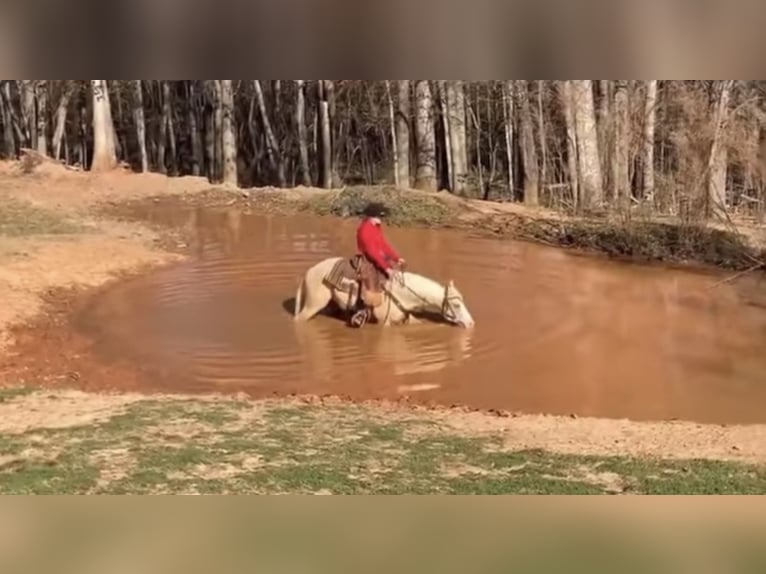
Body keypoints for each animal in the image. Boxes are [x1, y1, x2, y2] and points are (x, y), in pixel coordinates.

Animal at [292, 256, 474, 328]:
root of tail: (309, 271)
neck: (403, 293)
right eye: (457, 305)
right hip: (313, 305)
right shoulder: (384, 323)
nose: (471, 323)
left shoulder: (405, 318)